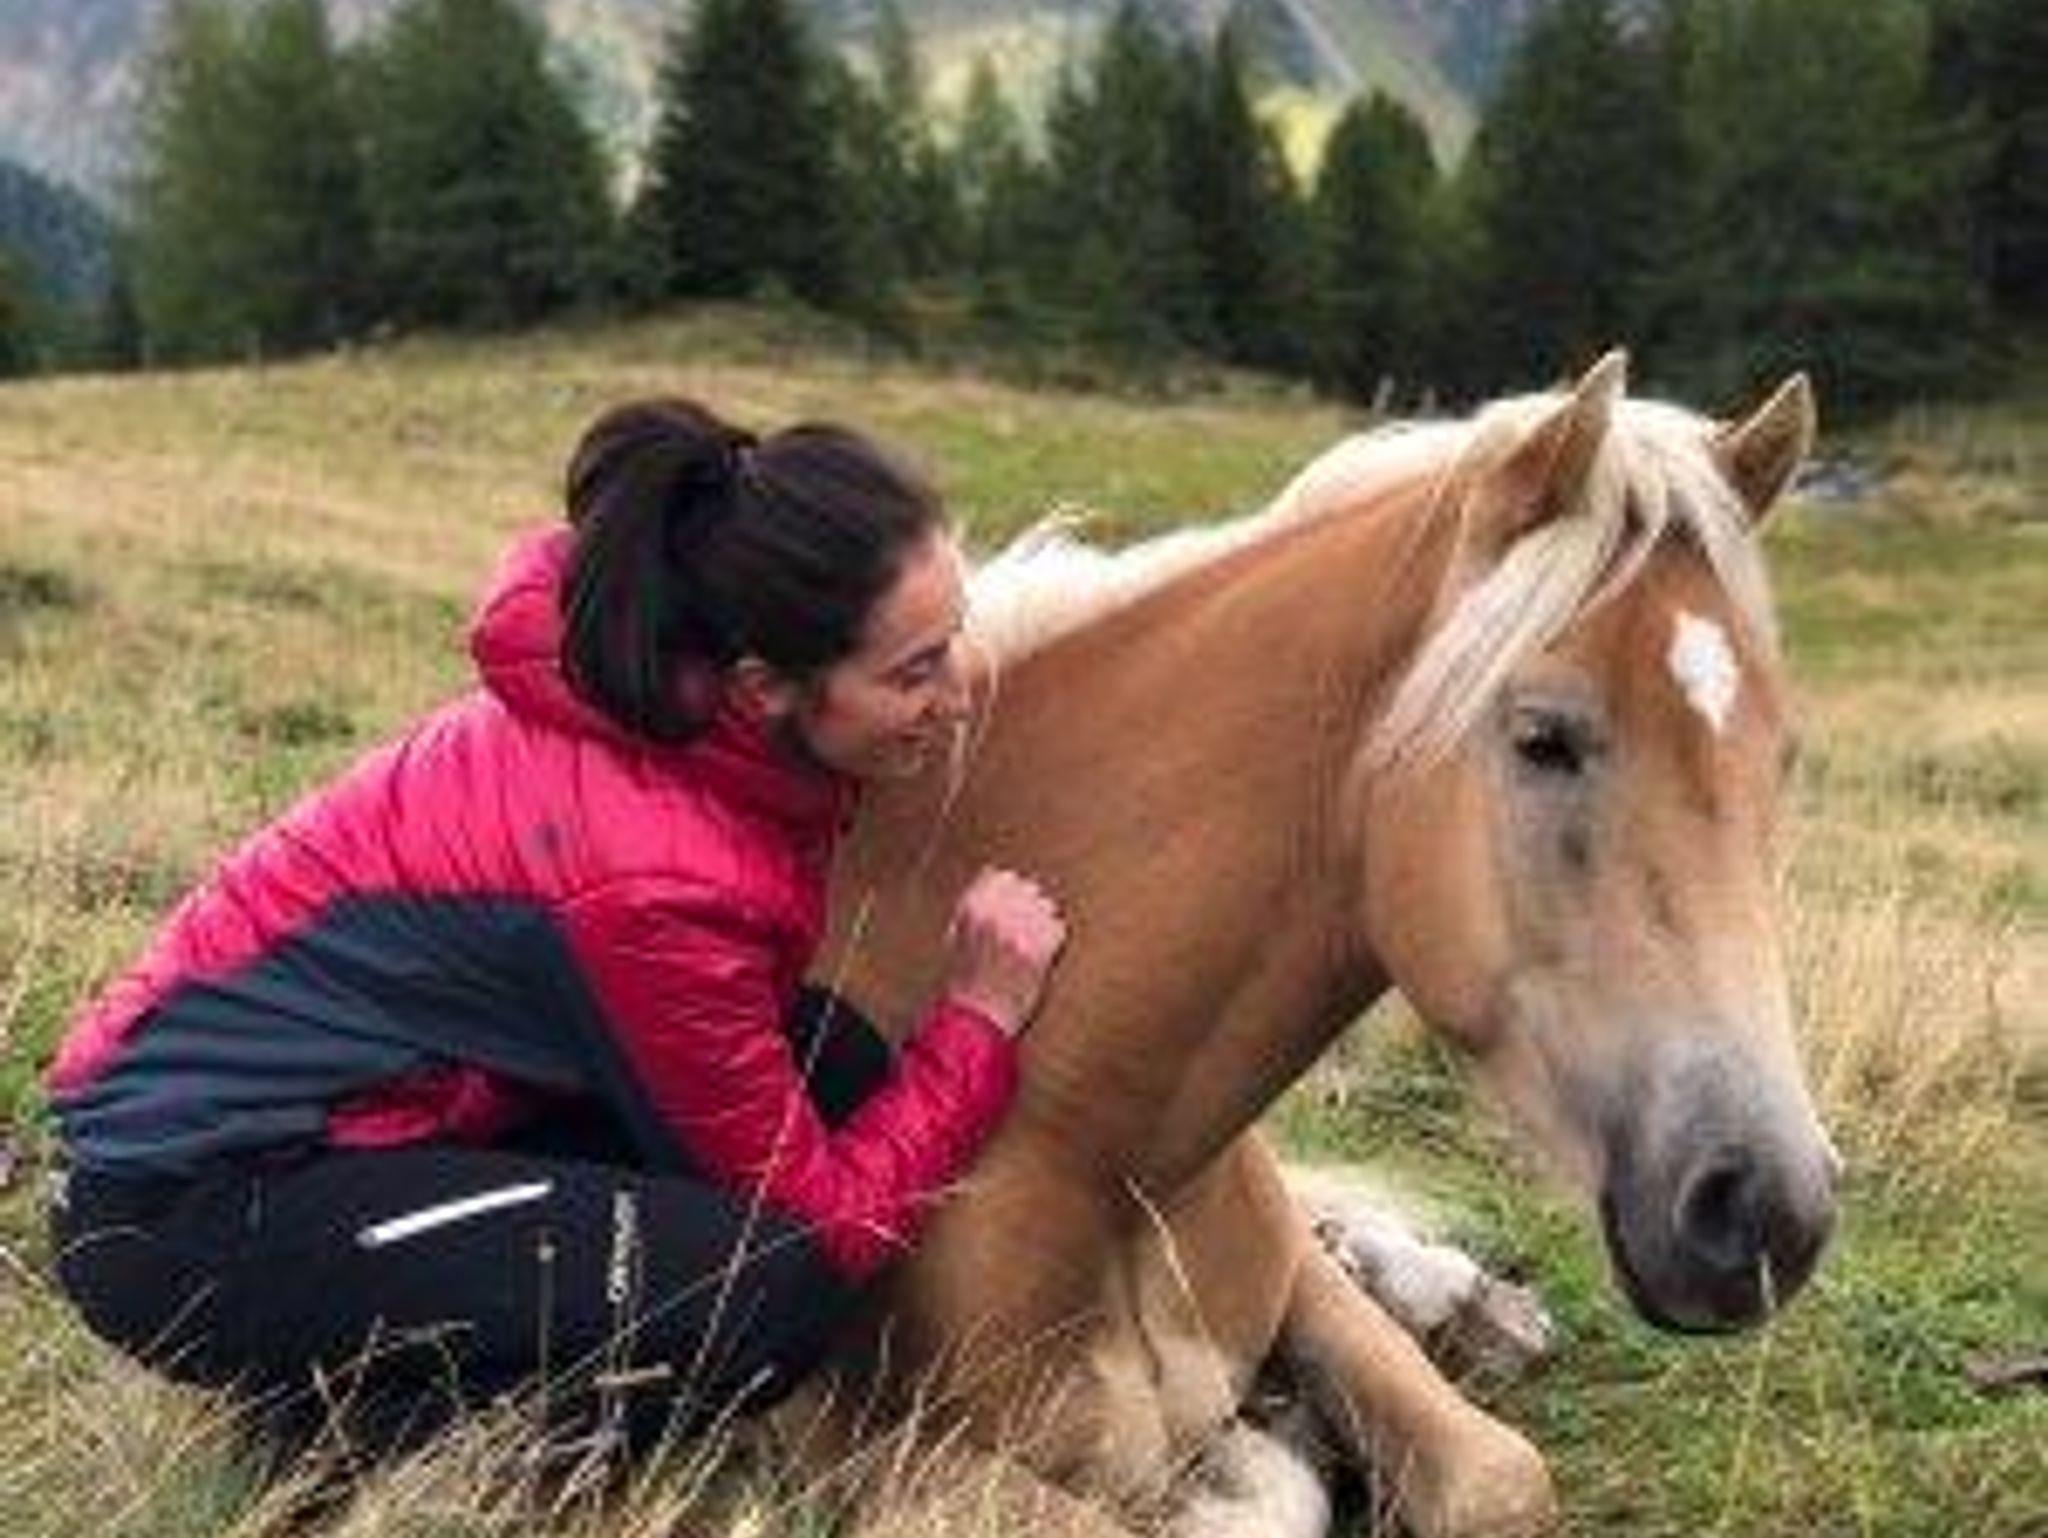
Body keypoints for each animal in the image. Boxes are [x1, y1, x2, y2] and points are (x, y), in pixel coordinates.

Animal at [800, 353, 1839, 1538]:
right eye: (1542, 737)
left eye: (1780, 756)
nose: (1769, 1209)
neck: (1100, 1146)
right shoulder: (855, 1458)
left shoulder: (1297, 1279)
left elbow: (1495, 1477)